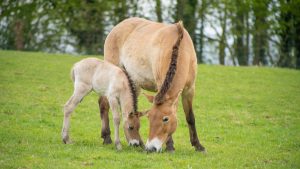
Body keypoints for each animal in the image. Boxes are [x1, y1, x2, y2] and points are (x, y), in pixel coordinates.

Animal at [98, 17, 206, 152]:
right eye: (149, 117)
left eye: (165, 119)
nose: (151, 148)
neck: (180, 48)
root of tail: (117, 27)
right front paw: (170, 146)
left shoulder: (189, 89)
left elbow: (190, 117)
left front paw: (198, 145)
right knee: (103, 103)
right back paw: (107, 137)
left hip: (134, 84)